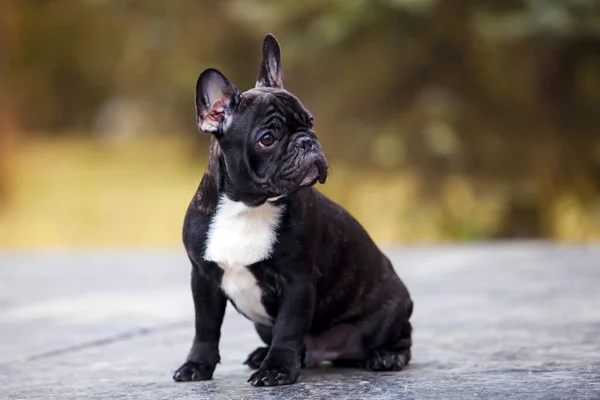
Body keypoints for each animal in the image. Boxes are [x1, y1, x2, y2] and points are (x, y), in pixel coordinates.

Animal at [172, 34, 412, 388]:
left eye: (310, 123)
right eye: (267, 138)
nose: (307, 142)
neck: (248, 207)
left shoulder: (296, 282)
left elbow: (287, 330)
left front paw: (276, 370)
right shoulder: (203, 278)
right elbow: (205, 328)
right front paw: (197, 365)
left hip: (391, 312)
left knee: (401, 337)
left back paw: (386, 356)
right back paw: (263, 354)